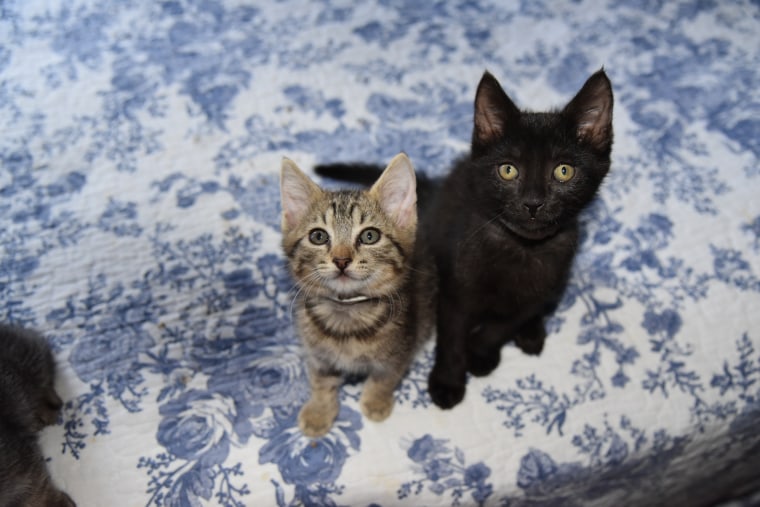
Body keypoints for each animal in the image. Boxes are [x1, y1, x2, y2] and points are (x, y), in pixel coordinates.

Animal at [0, 324, 76, 506]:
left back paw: (46, 408)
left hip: (27, 357)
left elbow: (37, 489)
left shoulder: (22, 460)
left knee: (45, 369)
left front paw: (57, 503)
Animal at [424, 69, 616, 408]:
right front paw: (447, 382)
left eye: (563, 171)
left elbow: (500, 326)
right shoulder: (455, 291)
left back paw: (531, 333)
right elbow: (451, 338)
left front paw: (481, 354)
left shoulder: (541, 288)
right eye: (508, 170)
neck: (521, 249)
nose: (533, 203)